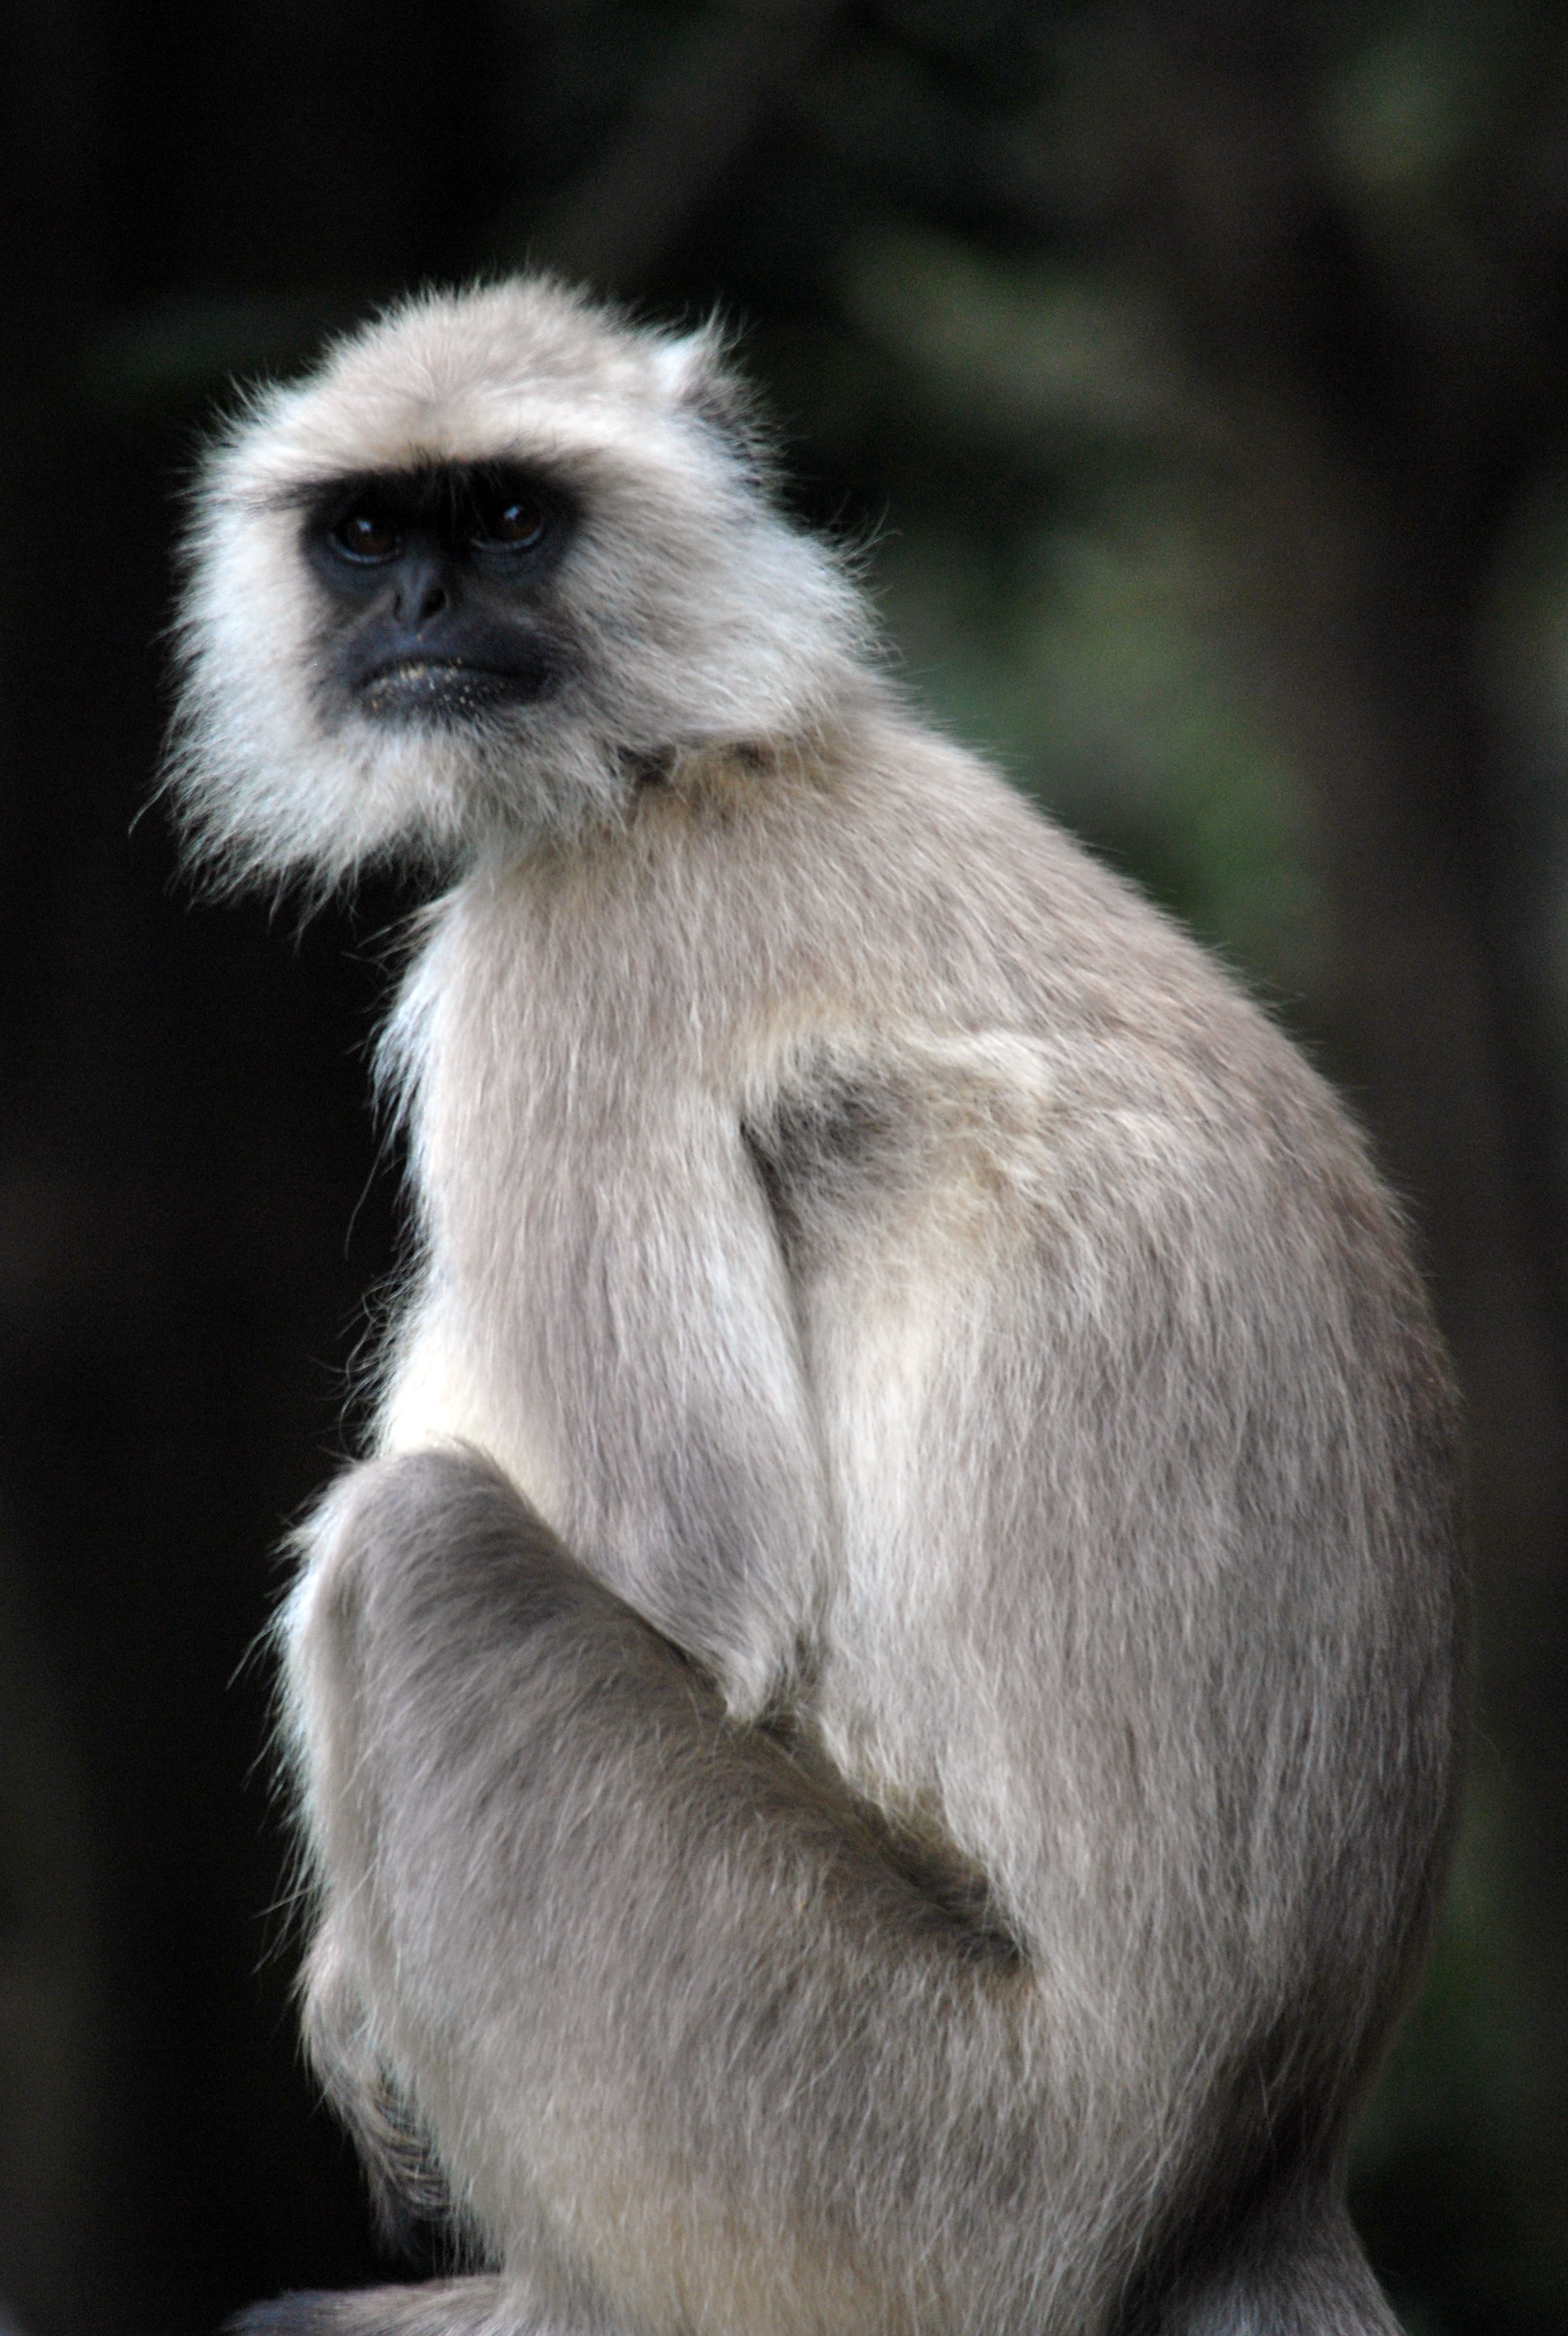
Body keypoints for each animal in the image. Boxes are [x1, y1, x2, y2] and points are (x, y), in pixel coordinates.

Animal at [166, 278, 1463, 2336]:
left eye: (504, 518)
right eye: (366, 534)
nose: (420, 609)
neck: (709, 756)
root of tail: (1251, 2179)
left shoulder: (568, 953)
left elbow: (686, 1569)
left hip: (892, 2164)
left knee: (415, 1547)